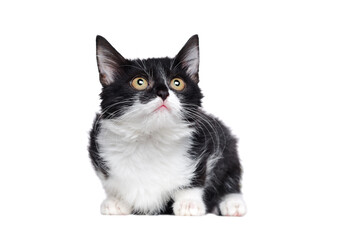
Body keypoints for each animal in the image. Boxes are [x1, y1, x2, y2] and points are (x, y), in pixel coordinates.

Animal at [88, 34, 246, 217]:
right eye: (139, 82)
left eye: (177, 83)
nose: (163, 93)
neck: (151, 138)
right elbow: (110, 182)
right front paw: (116, 201)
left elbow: (197, 176)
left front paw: (188, 203)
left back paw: (233, 203)